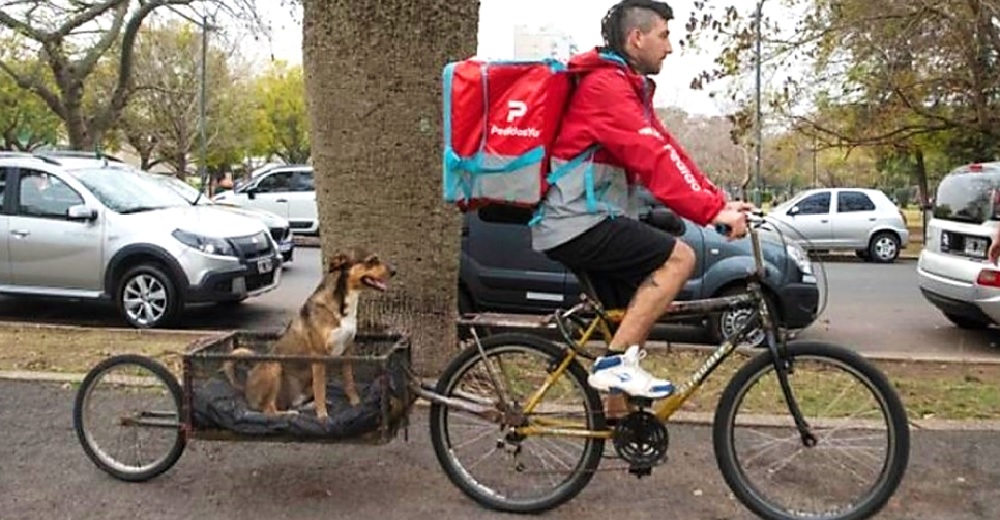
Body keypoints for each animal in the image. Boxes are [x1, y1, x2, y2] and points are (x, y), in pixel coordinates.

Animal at [225, 248, 392, 418]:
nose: (394, 272)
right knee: (269, 410)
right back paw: (289, 414)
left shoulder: (347, 353)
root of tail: (245, 387)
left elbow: (349, 382)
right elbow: (320, 390)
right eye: (372, 260)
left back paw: (308, 406)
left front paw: (356, 404)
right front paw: (323, 416)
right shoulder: (318, 357)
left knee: (296, 402)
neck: (340, 308)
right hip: (274, 366)